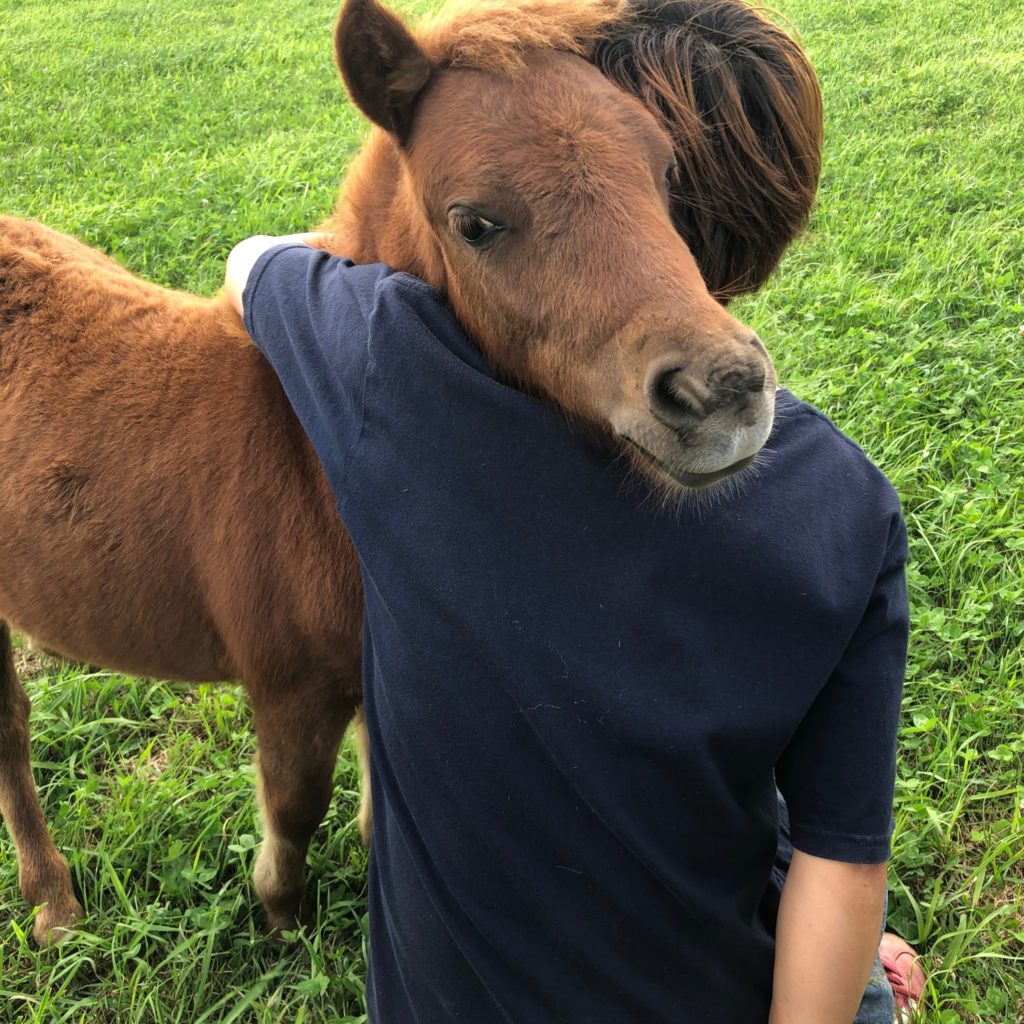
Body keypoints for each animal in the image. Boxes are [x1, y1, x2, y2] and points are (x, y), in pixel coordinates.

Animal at [0, 0, 823, 942]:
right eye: (474, 222)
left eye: (666, 168)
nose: (724, 393)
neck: (307, 448)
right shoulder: (288, 687)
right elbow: (295, 804)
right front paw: (282, 913)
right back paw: (55, 905)